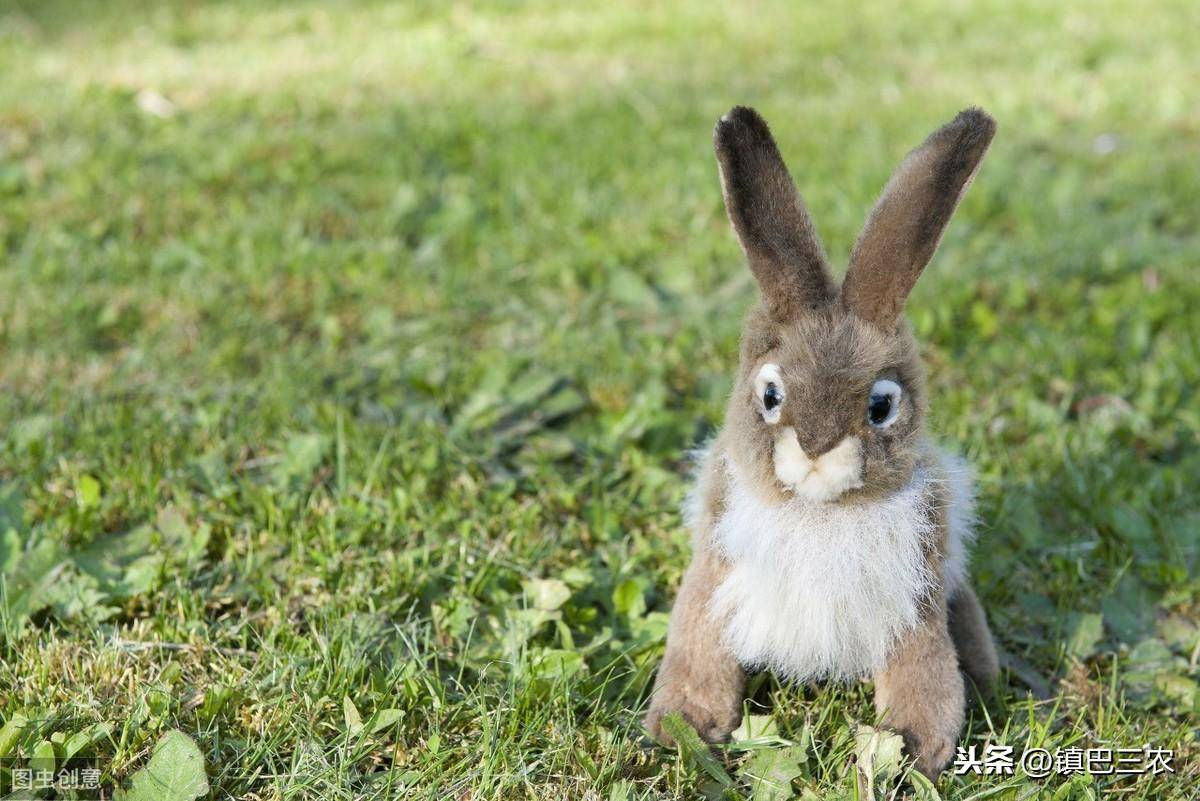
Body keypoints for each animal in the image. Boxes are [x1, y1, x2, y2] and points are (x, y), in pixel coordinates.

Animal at [648, 103, 1003, 777]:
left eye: (881, 406)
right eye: (770, 396)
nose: (816, 452)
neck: (818, 513)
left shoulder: (916, 597)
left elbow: (922, 671)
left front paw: (911, 749)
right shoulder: (715, 572)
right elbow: (699, 647)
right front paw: (685, 727)